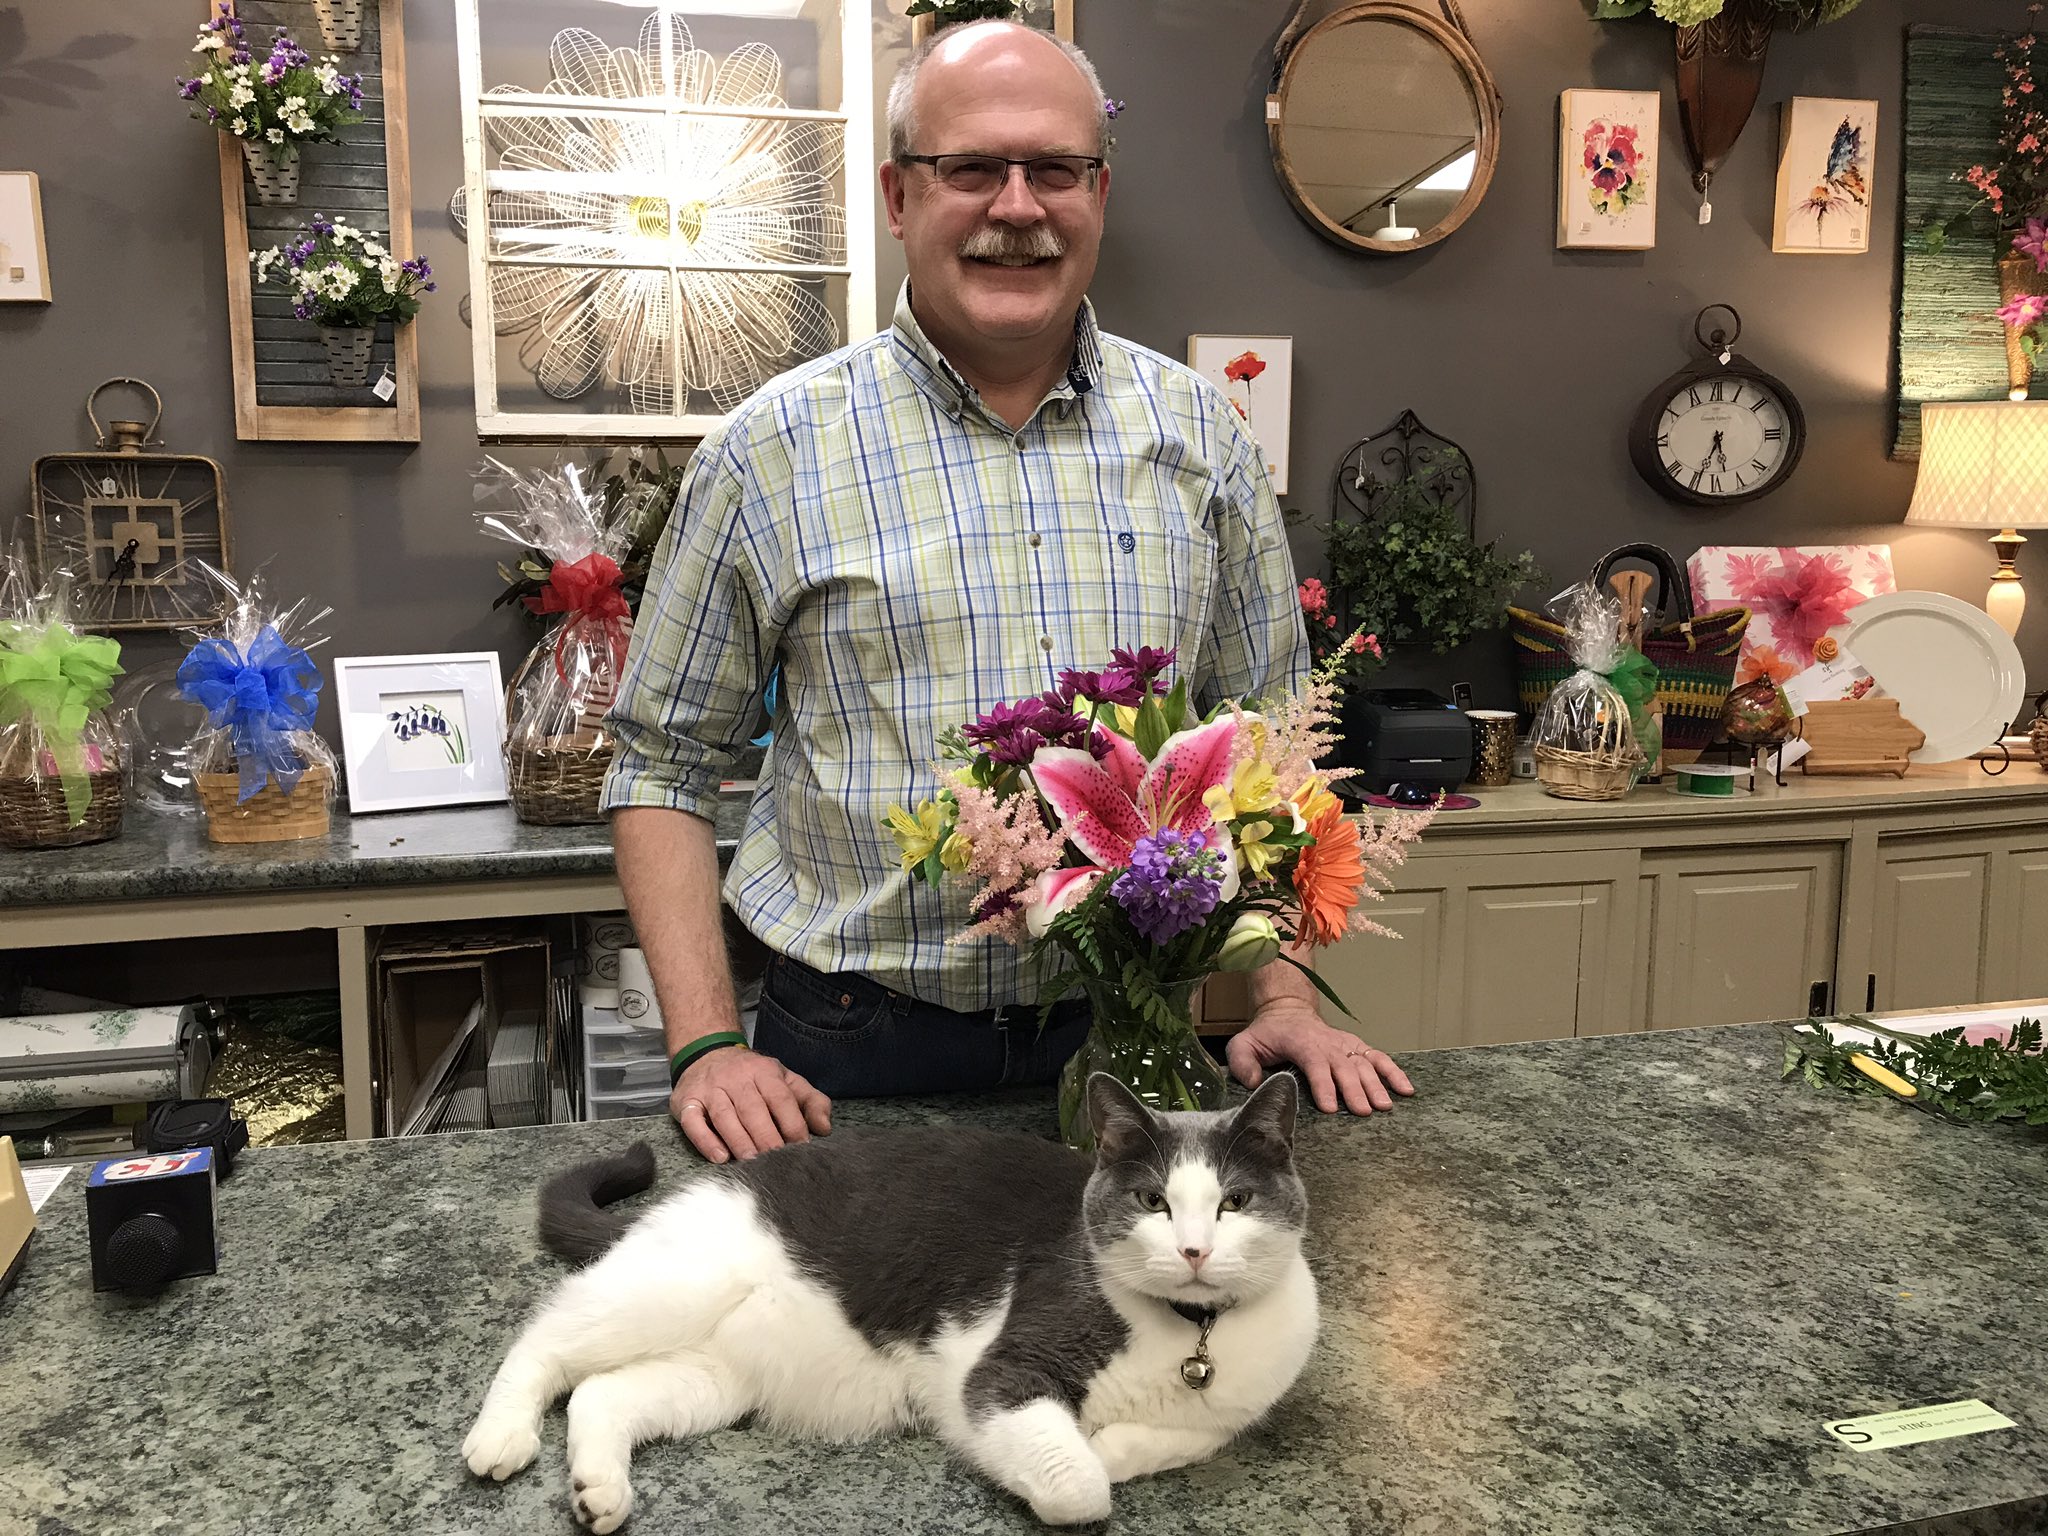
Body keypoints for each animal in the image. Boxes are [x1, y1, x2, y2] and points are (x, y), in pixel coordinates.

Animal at [461, 1071, 1318, 1532]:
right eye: (1152, 1201)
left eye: (1235, 1202)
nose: (1195, 1251)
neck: (1188, 1334)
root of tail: (699, 1189)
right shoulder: (1001, 1375)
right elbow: (1079, 1485)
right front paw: (1081, 1458)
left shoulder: (1226, 1415)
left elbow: (1181, 1440)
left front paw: (1112, 1442)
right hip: (670, 1292)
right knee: (542, 1342)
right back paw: (500, 1437)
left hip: (717, 1378)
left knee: (603, 1394)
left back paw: (598, 1491)